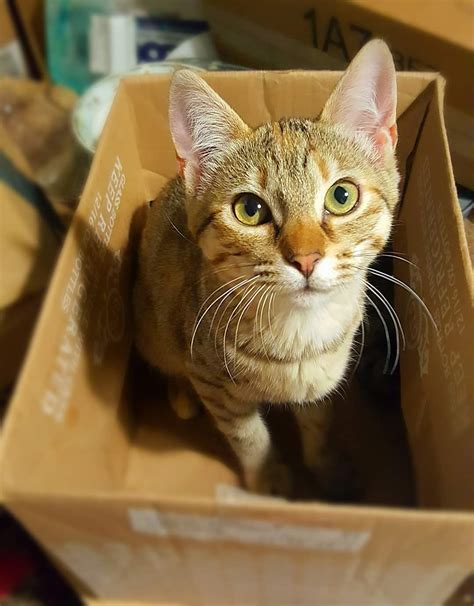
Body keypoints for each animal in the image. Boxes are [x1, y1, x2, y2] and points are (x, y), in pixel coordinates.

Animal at [133, 40, 400, 502]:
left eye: (342, 196)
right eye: (249, 209)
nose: (306, 258)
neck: (299, 333)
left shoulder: (322, 383)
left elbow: (318, 425)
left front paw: (327, 469)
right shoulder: (214, 385)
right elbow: (249, 437)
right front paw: (269, 481)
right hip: (155, 330)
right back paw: (181, 397)